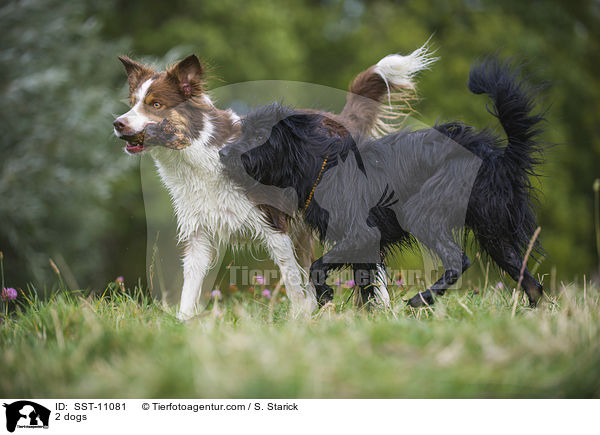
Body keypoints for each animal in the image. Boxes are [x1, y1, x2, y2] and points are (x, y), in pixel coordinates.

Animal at [112, 44, 434, 320]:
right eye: (132, 104)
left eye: (155, 104)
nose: (118, 123)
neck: (201, 158)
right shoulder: (200, 234)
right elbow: (189, 287)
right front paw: (182, 323)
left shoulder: (275, 225)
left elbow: (291, 280)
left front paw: (300, 318)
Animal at [219, 59, 544, 308]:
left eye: (260, 136)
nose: (223, 153)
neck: (321, 164)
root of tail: (495, 155)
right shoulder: (364, 246)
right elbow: (365, 289)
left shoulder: (360, 234)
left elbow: (317, 266)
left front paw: (325, 296)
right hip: (495, 235)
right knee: (530, 280)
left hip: (423, 212)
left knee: (458, 261)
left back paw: (421, 299)